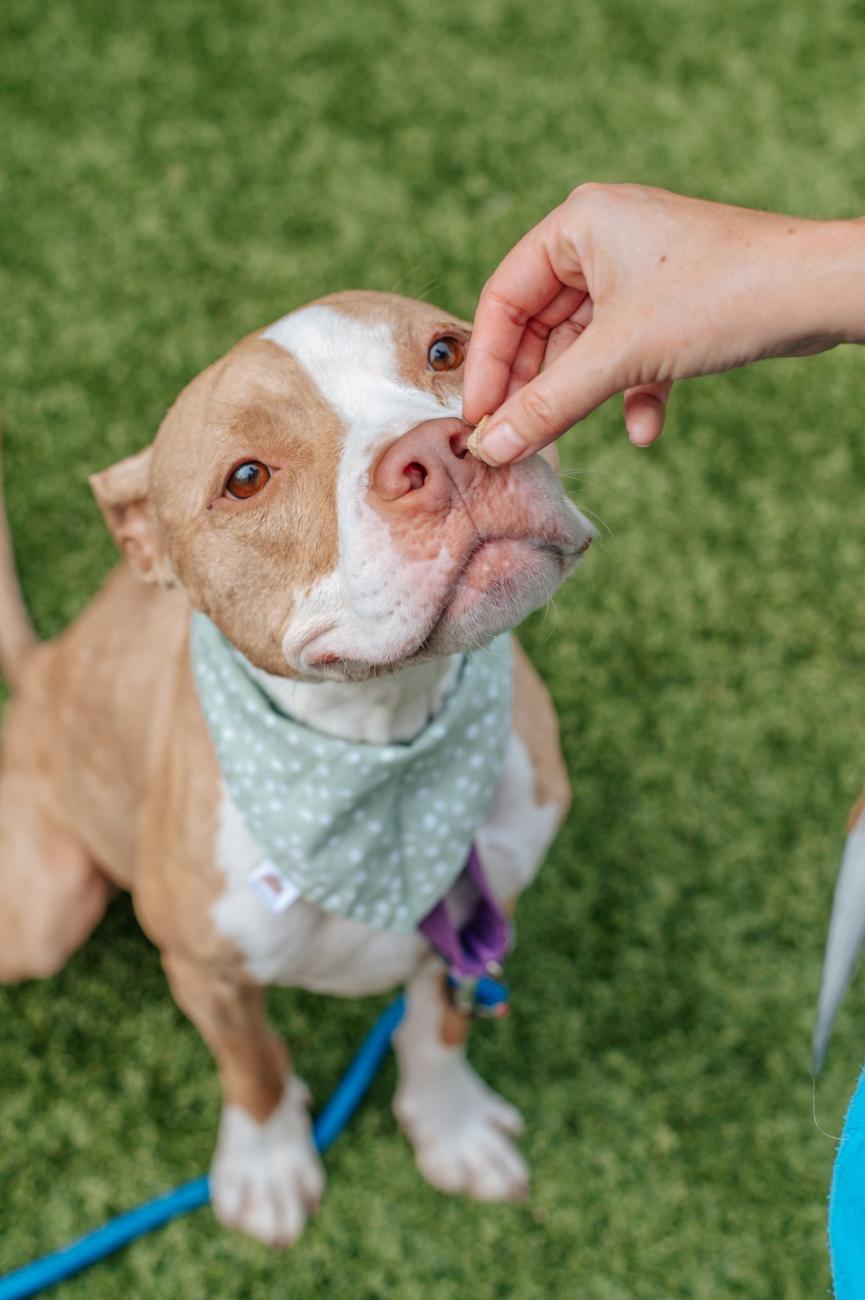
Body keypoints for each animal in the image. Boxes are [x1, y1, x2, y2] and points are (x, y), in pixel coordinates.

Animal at [0, 289, 593, 1242]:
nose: (440, 449)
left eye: (447, 350)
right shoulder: (206, 972)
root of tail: (45, 665)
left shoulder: (473, 915)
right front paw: (268, 1164)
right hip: (44, 912)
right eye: (246, 476)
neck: (385, 745)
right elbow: (253, 1064)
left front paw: (452, 1127)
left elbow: (438, 1031)